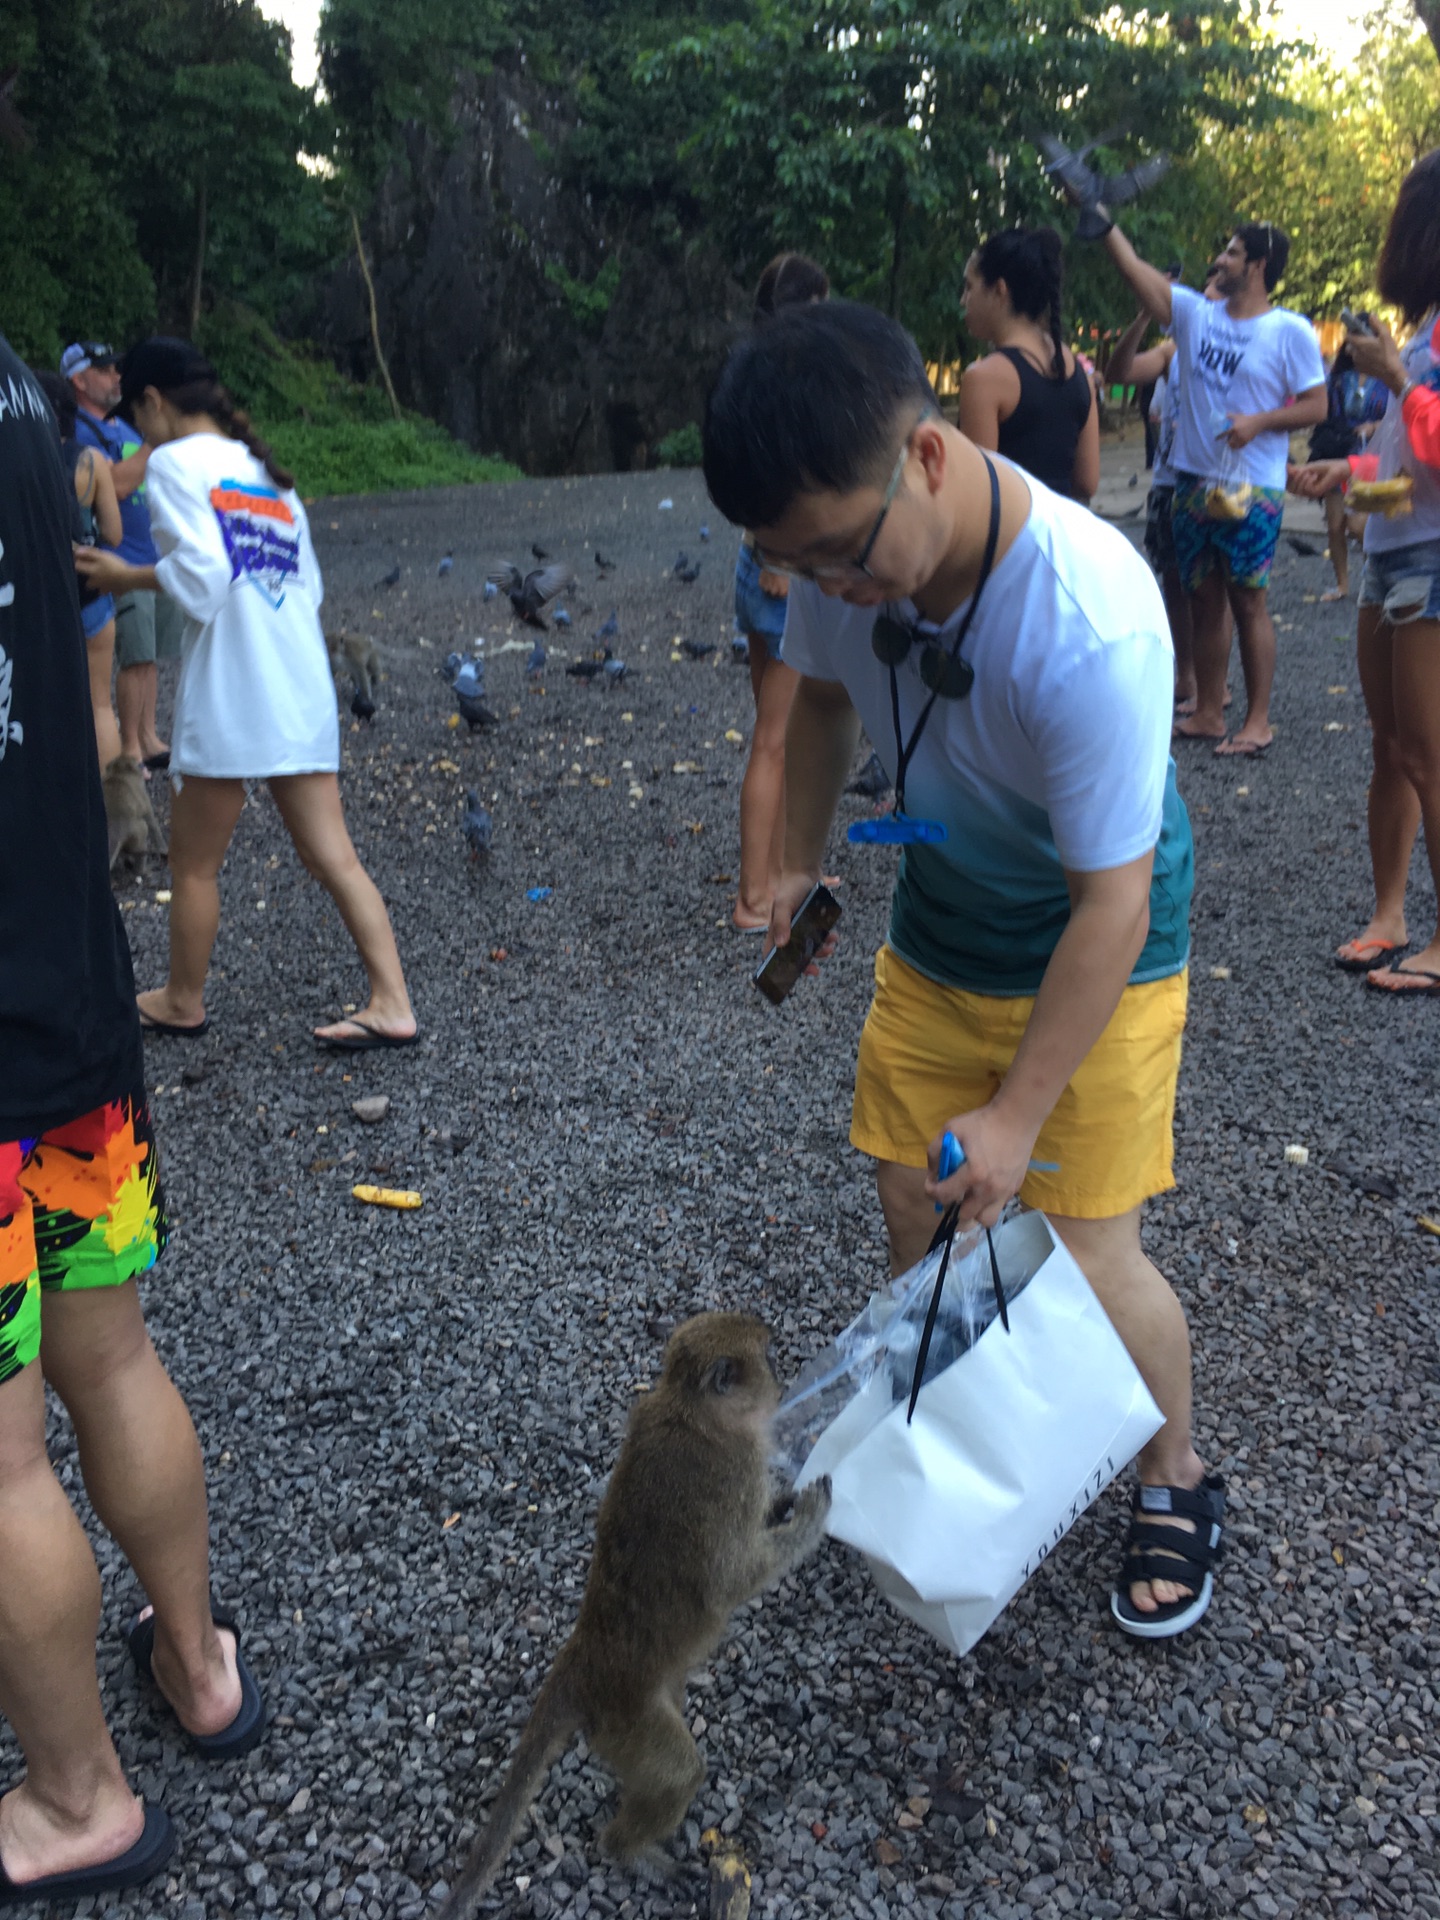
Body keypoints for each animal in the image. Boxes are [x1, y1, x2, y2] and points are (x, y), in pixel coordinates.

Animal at [433, 1313, 829, 1912]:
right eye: (770, 1358)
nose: (783, 1384)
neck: (688, 1409)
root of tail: (582, 1657)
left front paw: (783, 1503)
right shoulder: (732, 1473)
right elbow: (732, 1583)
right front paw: (811, 1512)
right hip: (625, 1721)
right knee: (677, 1772)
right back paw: (628, 1849)